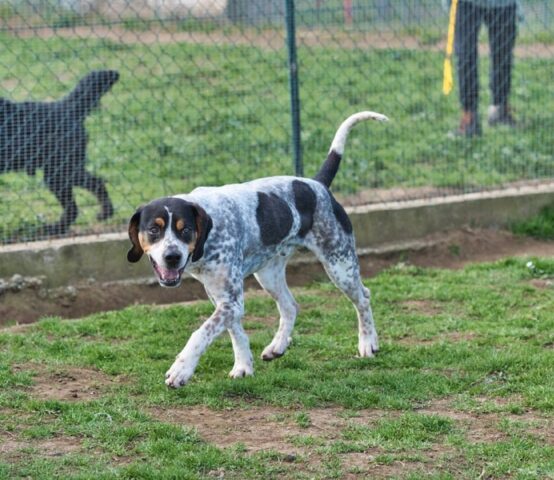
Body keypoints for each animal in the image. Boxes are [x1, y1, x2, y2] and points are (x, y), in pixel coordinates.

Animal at [0, 70, 119, 235]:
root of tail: (66, 107)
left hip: (58, 173)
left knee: (76, 204)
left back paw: (55, 228)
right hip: (66, 171)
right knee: (95, 183)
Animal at [126, 110, 386, 388]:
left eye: (184, 230)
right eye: (154, 229)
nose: (172, 257)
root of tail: (317, 184)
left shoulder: (230, 301)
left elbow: (201, 332)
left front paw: (182, 368)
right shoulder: (223, 299)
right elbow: (235, 331)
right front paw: (243, 366)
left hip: (340, 265)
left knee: (363, 297)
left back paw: (368, 343)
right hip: (269, 275)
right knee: (290, 306)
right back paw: (278, 346)